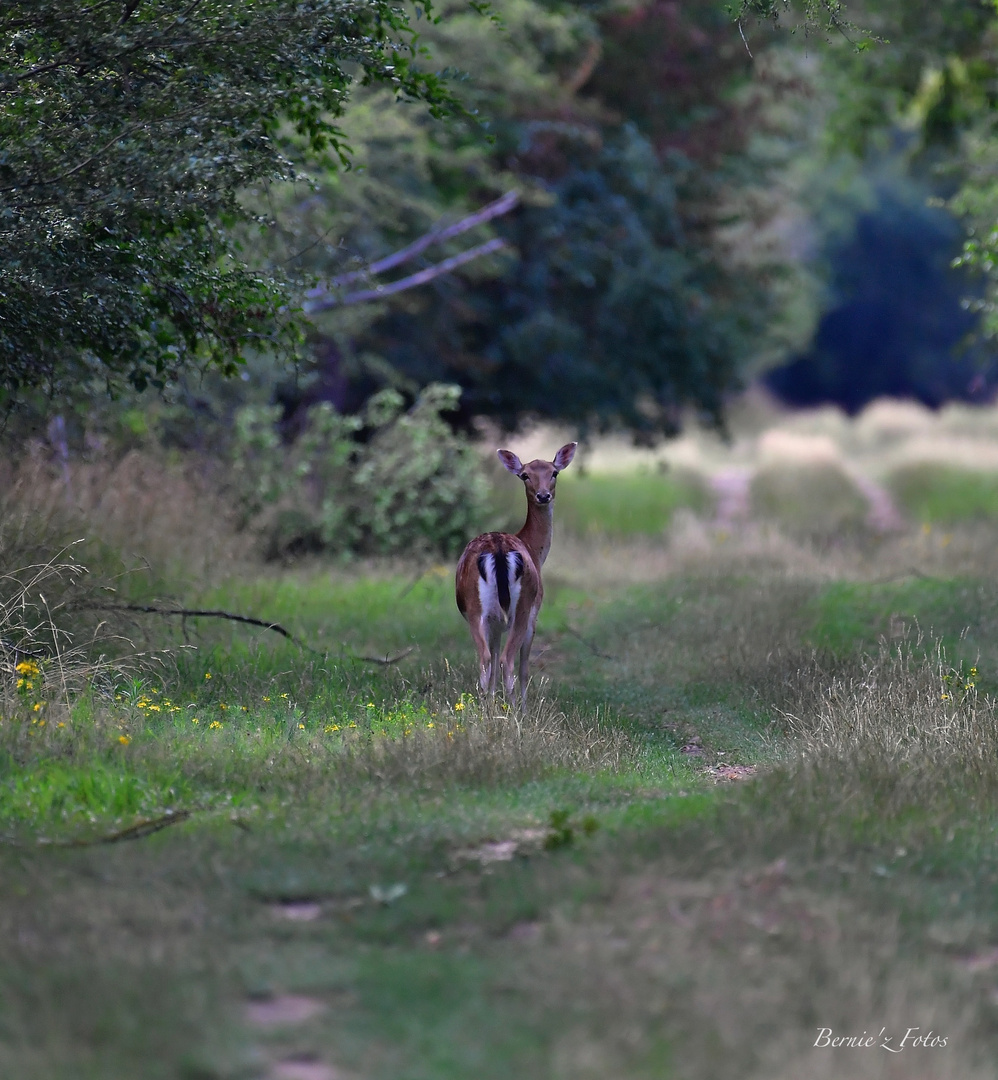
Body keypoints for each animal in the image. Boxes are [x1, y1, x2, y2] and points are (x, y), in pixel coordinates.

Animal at [453, 440, 578, 704]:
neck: (534, 549)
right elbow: (524, 669)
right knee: (507, 662)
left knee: (486, 661)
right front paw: (523, 708)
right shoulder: (534, 613)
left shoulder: (496, 623)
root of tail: (499, 549)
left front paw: (492, 703)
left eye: (554, 472)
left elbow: (491, 668)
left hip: (475, 609)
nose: (543, 495)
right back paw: (515, 712)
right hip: (523, 606)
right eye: (525, 475)